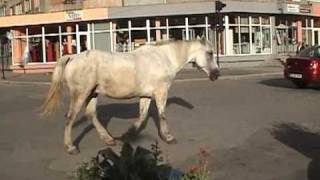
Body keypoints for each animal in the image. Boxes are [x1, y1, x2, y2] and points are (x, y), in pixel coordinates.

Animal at [41, 38, 219, 153]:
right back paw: (70, 147)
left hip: (92, 93)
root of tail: (72, 57)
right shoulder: (161, 92)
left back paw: (109, 139)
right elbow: (162, 115)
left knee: (91, 114)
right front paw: (168, 137)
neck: (163, 58)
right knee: (70, 117)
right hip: (81, 93)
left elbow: (142, 116)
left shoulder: (146, 96)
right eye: (210, 53)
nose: (216, 74)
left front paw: (127, 135)